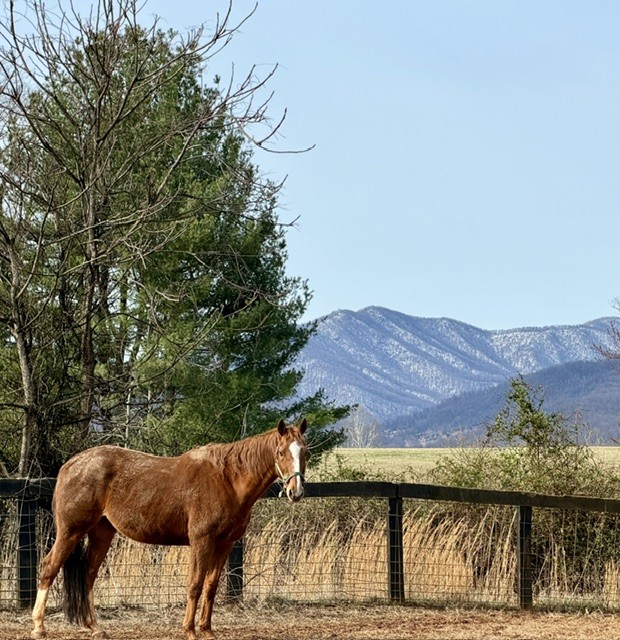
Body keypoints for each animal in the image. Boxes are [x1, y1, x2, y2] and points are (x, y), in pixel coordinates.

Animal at [31, 418, 308, 640]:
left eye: (304, 451)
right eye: (281, 451)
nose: (296, 492)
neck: (227, 480)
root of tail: (70, 465)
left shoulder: (225, 544)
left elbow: (211, 586)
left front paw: (207, 630)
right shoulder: (202, 541)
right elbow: (195, 585)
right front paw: (190, 630)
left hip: (102, 532)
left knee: (88, 574)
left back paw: (95, 627)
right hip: (71, 531)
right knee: (49, 568)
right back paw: (39, 627)